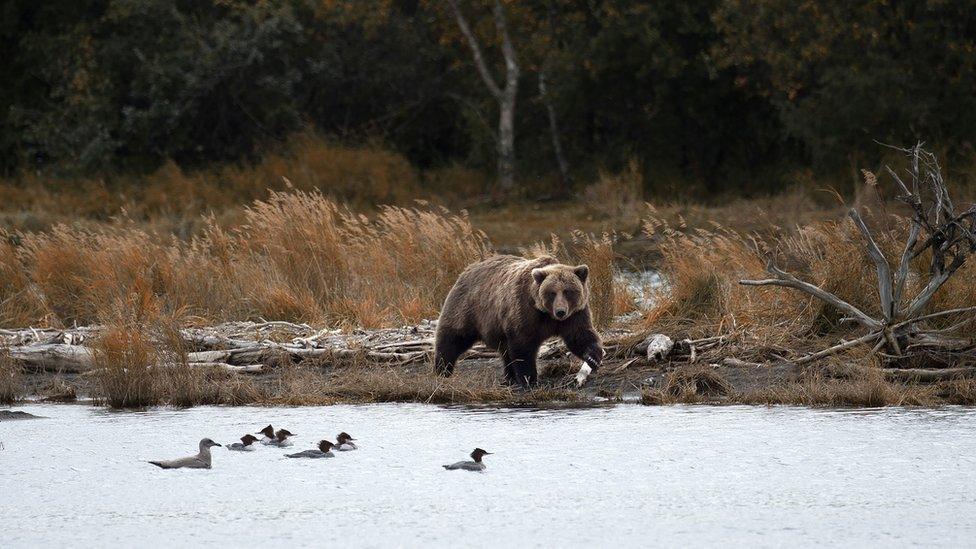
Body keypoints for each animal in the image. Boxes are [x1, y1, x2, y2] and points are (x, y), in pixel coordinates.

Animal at [434, 254, 604, 386]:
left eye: (568, 291)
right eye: (552, 292)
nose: (560, 311)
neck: (546, 313)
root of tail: (466, 270)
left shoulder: (575, 313)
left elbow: (580, 335)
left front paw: (593, 358)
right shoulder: (525, 312)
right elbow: (523, 346)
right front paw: (529, 379)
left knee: (505, 352)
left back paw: (509, 377)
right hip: (468, 310)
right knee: (451, 339)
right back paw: (442, 370)